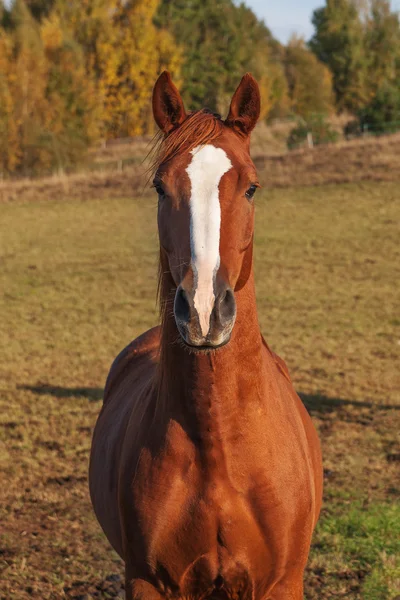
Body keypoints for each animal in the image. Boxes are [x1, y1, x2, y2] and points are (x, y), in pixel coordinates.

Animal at [89, 71, 324, 600]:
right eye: (160, 188)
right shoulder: (147, 583)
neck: (218, 445)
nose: (202, 311)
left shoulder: (282, 583)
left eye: (252, 188)